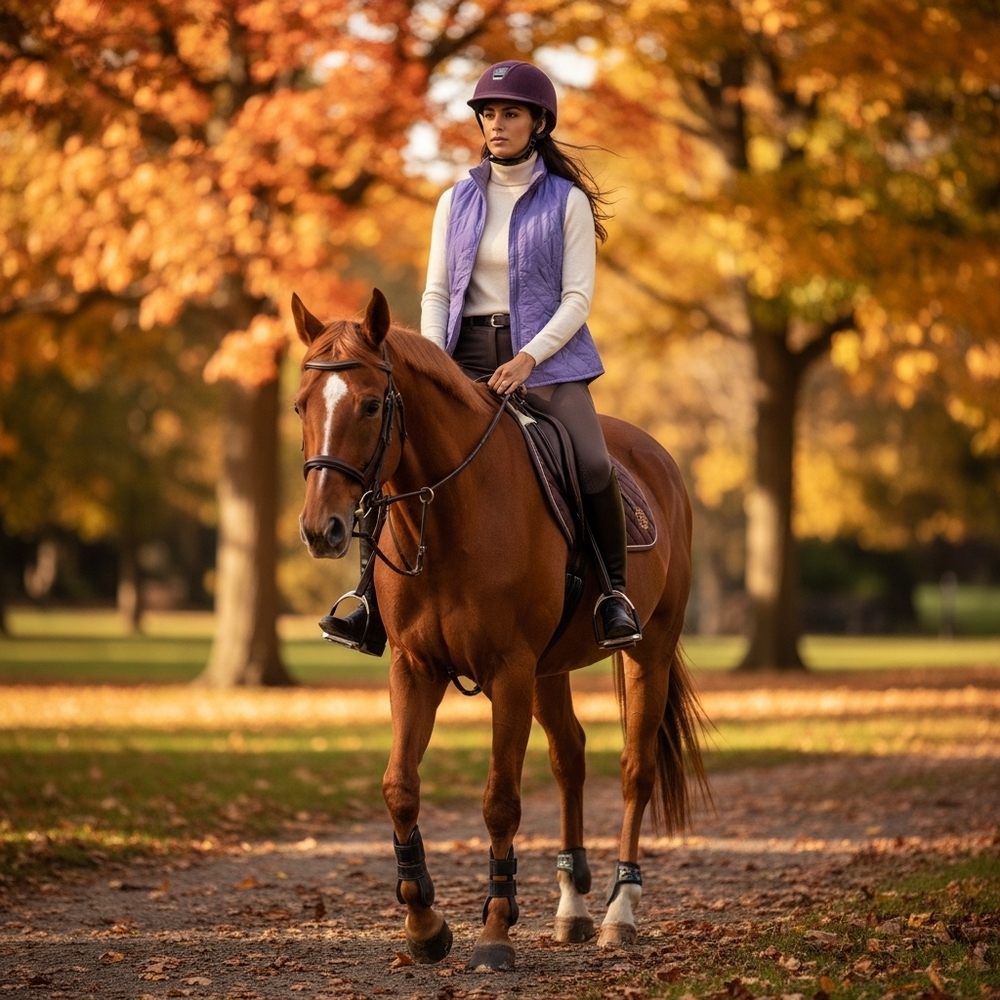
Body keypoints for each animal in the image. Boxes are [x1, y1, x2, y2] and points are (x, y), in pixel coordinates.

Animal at [293, 288, 707, 972]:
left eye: (372, 404)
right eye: (302, 406)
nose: (318, 529)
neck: (448, 516)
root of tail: (656, 456)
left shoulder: (509, 671)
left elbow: (500, 801)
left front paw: (494, 929)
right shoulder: (415, 668)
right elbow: (399, 788)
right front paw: (425, 923)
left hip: (648, 649)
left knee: (635, 768)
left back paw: (619, 911)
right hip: (550, 670)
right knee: (570, 757)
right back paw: (573, 906)